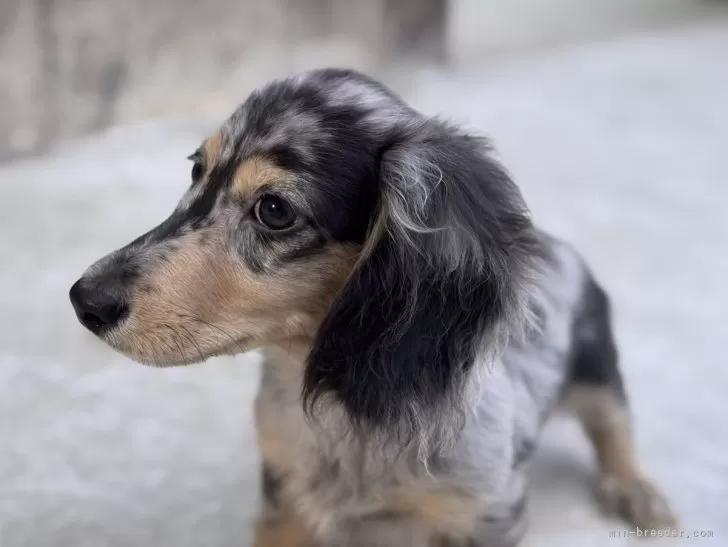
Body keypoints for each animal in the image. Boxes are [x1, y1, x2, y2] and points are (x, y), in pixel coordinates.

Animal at [69, 69, 676, 547]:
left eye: (274, 210)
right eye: (197, 171)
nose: (84, 301)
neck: (342, 408)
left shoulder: (484, 512)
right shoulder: (285, 495)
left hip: (596, 363)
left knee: (613, 422)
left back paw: (636, 489)